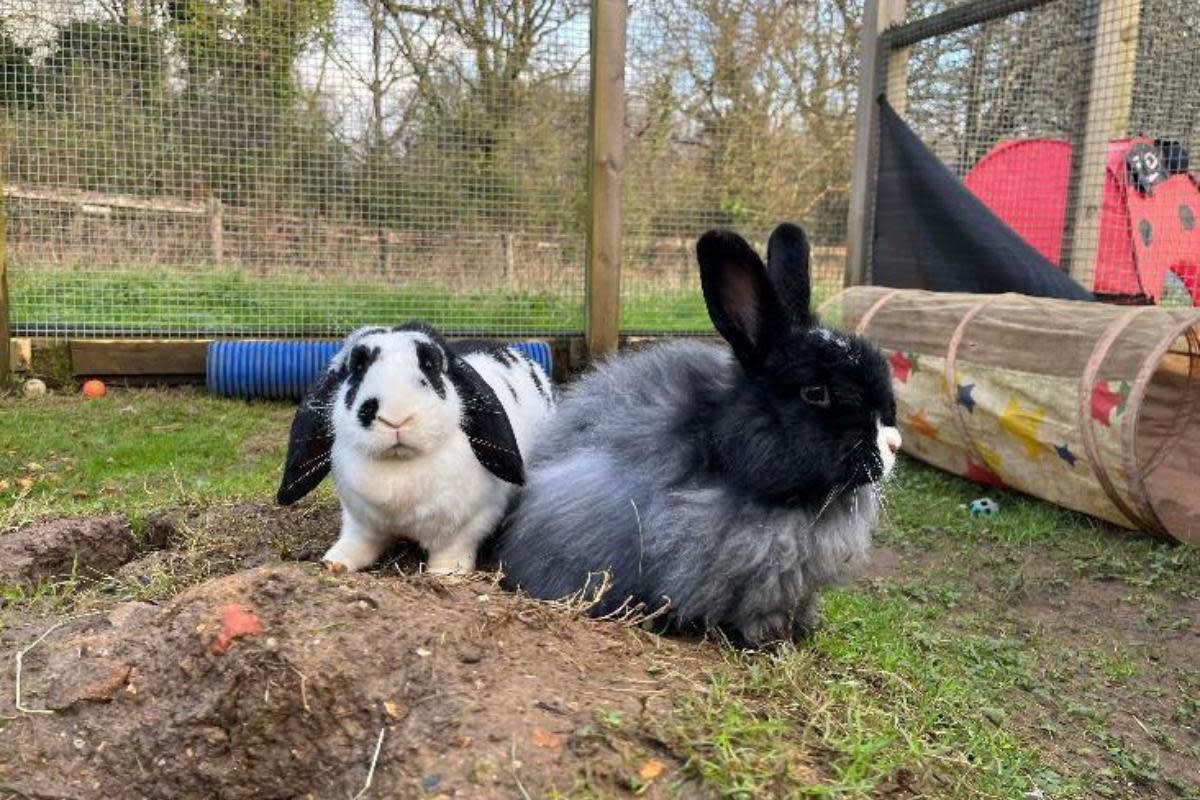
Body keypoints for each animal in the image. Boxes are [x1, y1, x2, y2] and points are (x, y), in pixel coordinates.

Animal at [276, 323, 552, 575]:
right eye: (357, 368)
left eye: (429, 366)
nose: (396, 417)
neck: (400, 465)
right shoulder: (359, 521)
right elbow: (358, 541)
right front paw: (335, 562)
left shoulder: (470, 523)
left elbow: (453, 550)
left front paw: (445, 573)